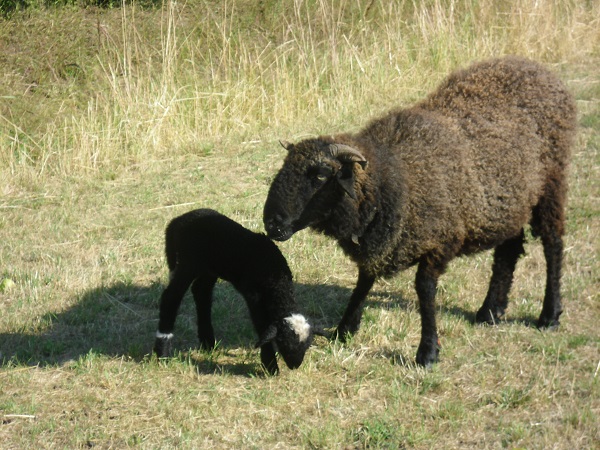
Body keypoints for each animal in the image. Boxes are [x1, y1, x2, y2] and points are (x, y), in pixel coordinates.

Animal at [154, 209, 314, 374]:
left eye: (307, 345)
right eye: (284, 342)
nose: (295, 365)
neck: (277, 282)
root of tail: (176, 222)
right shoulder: (254, 296)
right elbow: (261, 324)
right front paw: (270, 365)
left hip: (209, 268)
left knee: (201, 291)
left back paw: (208, 342)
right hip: (188, 263)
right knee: (171, 297)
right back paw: (163, 351)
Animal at [262, 56, 576, 368]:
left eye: (320, 175)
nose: (272, 223)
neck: (395, 177)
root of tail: (538, 68)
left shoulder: (440, 240)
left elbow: (424, 290)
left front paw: (428, 351)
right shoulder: (379, 243)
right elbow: (363, 282)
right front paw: (344, 329)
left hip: (552, 184)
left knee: (552, 244)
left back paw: (549, 315)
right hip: (510, 203)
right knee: (508, 250)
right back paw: (490, 311)